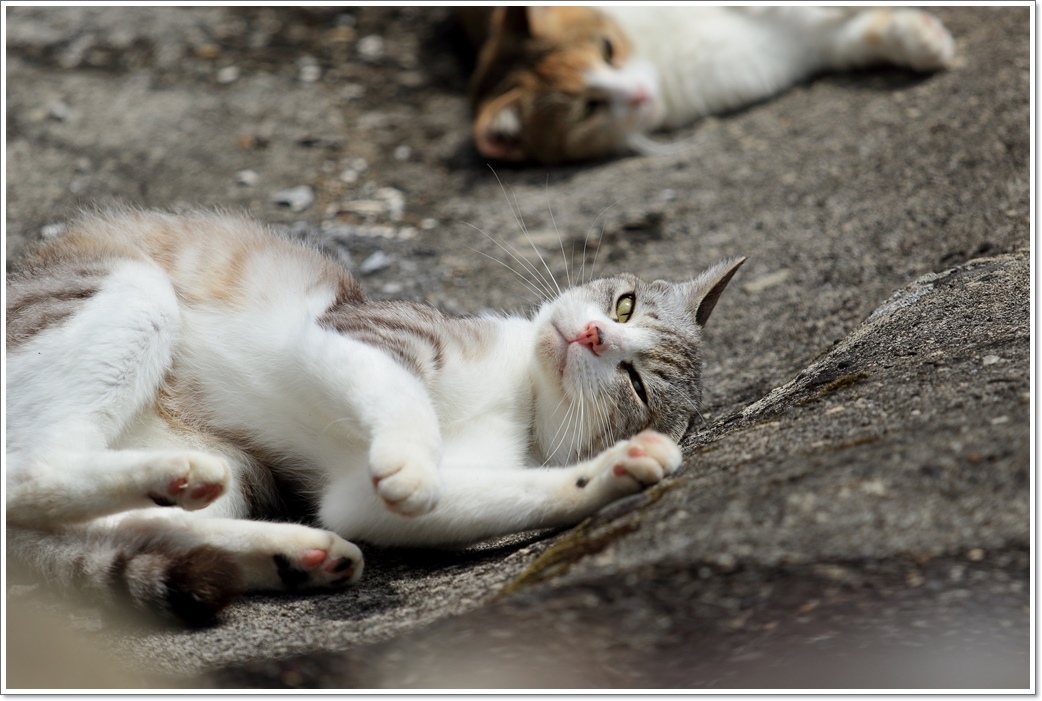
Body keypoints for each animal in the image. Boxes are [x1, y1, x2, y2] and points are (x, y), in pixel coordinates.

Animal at [4, 209, 746, 624]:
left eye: (637, 384)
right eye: (623, 305)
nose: (593, 335)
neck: (520, 397)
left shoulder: (359, 491)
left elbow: (486, 494)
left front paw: (620, 471)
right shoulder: (361, 336)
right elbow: (402, 397)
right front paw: (413, 460)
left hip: (234, 472)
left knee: (87, 519)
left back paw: (287, 552)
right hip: (134, 289)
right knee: (29, 475)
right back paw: (184, 480)